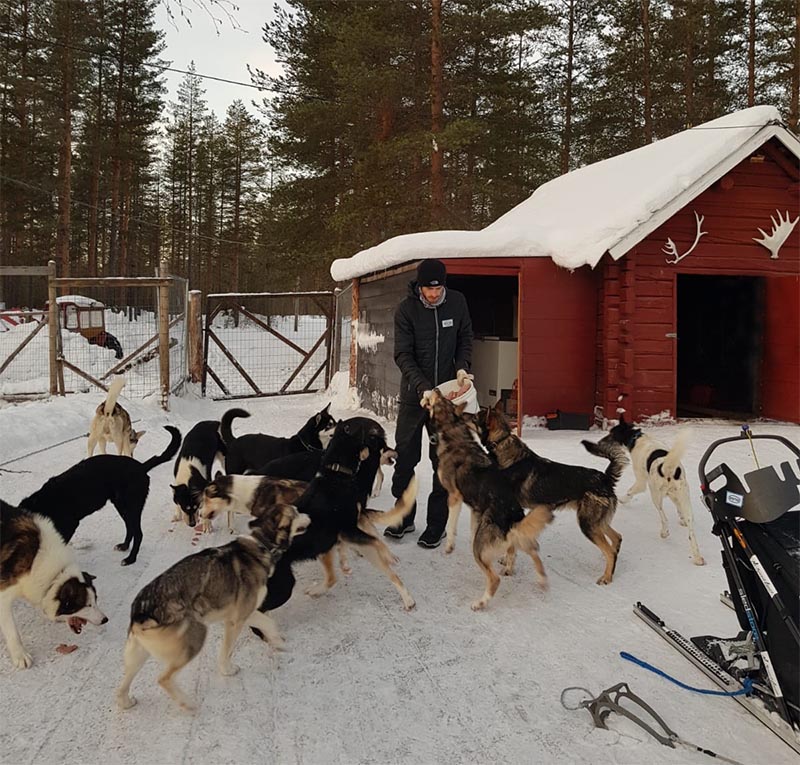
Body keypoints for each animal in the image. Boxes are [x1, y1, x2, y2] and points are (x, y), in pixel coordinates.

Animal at [18, 426, 181, 564]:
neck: (43, 503)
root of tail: (141, 467)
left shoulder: (69, 526)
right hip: (122, 506)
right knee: (130, 528)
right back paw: (124, 546)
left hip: (132, 507)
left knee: (138, 533)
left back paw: (131, 559)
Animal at [600, 414, 708, 564]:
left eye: (611, 434)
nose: (600, 441)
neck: (636, 437)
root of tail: (668, 467)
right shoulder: (676, 496)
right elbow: (678, 508)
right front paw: (681, 517)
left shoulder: (641, 481)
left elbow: (630, 492)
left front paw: (622, 499)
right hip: (684, 495)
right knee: (691, 530)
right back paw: (697, 556)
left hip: (655, 495)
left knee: (664, 517)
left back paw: (664, 532)